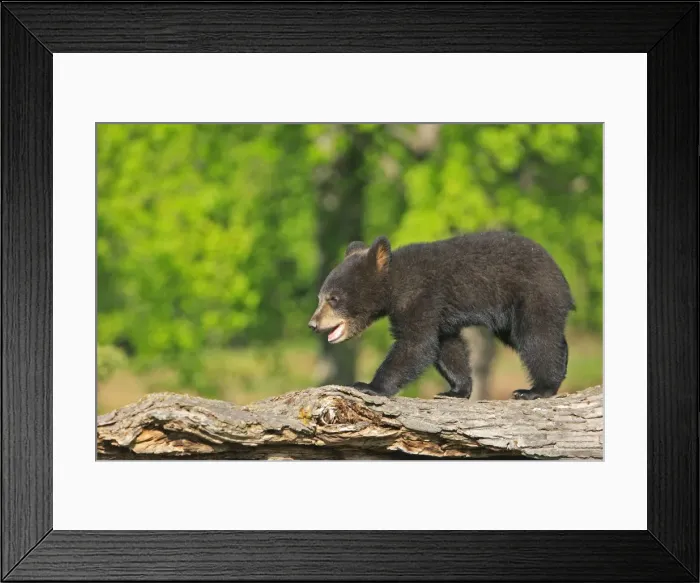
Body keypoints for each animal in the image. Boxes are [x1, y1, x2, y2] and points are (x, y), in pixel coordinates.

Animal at [308, 231, 575, 400]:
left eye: (334, 298)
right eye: (320, 297)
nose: (313, 324)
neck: (395, 284)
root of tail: (561, 275)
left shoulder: (421, 296)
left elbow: (416, 344)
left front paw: (369, 386)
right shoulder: (440, 314)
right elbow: (447, 346)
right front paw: (456, 389)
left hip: (532, 294)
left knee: (537, 338)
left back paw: (538, 389)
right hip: (509, 318)